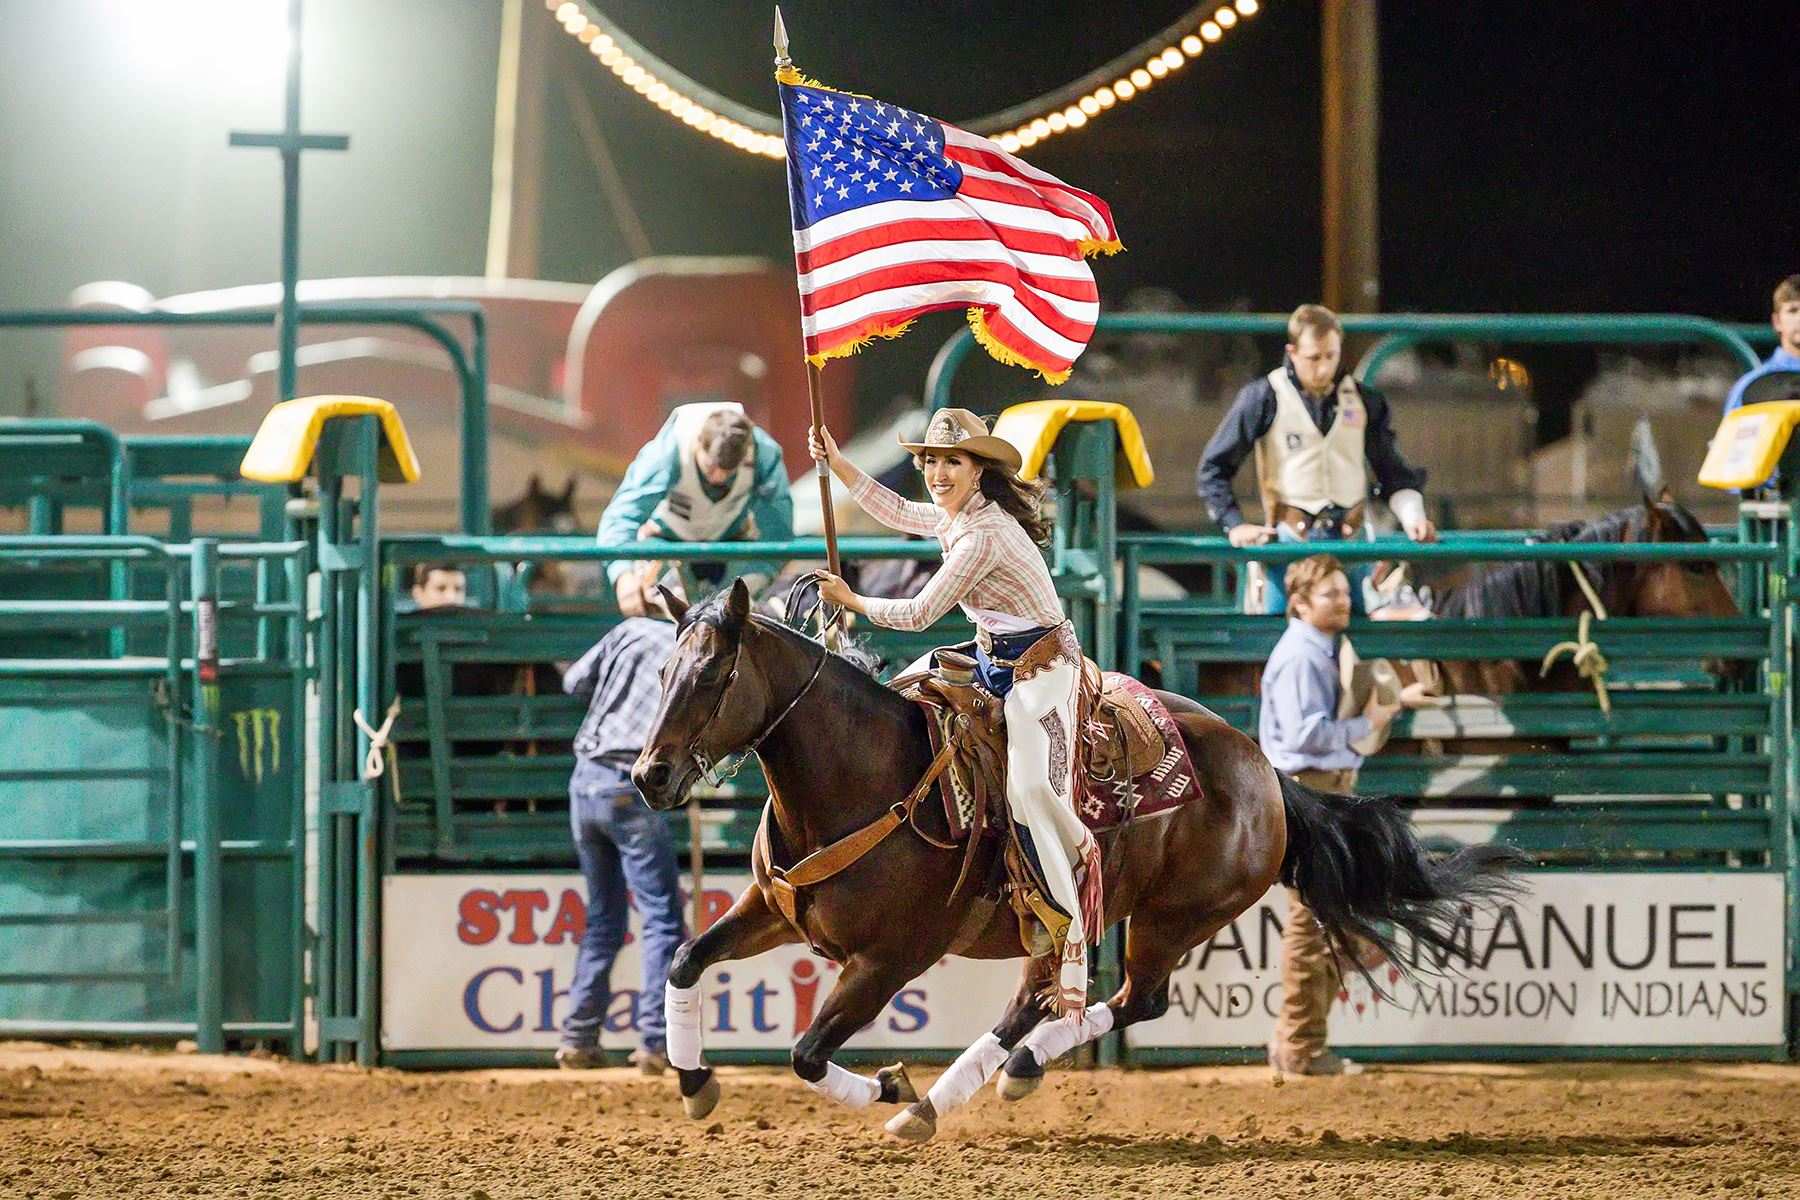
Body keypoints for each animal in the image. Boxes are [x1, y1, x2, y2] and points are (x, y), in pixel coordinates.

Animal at [630, 582, 1519, 1144]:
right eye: (661, 669)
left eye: (712, 673)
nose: (648, 776)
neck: (866, 776)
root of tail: (1267, 770)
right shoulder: (775, 911)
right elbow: (684, 959)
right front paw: (695, 1084)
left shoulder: (888, 961)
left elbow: (808, 1053)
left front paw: (887, 1083)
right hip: (1058, 923)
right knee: (1035, 1002)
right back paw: (957, 1095)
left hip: (1173, 919)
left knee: (1131, 1001)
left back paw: (986, 1081)